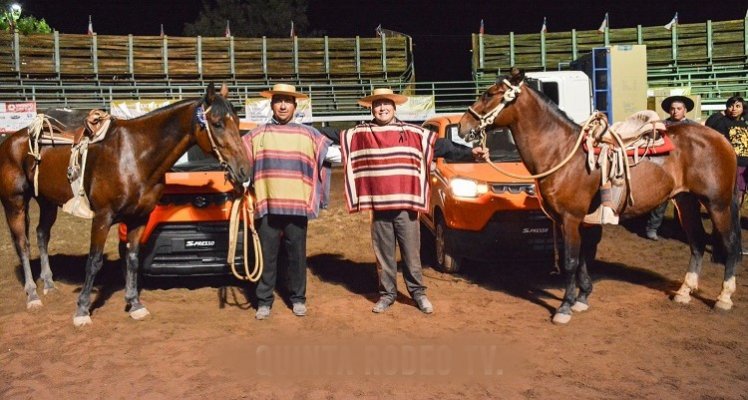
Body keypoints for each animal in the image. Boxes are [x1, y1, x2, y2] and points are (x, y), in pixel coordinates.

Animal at [0, 83, 251, 324]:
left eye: (237, 121)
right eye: (217, 123)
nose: (243, 170)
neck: (135, 155)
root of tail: (11, 139)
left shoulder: (139, 217)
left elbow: (132, 258)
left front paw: (135, 304)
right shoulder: (102, 217)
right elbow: (94, 261)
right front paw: (82, 310)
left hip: (47, 202)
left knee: (42, 234)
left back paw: (49, 284)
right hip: (15, 202)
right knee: (22, 244)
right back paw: (33, 294)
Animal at [458, 68, 740, 324]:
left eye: (489, 93)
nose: (462, 126)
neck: (561, 152)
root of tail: (720, 139)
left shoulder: (570, 218)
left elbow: (571, 260)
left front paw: (564, 307)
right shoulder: (577, 220)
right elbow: (582, 258)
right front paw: (582, 298)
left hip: (718, 204)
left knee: (730, 245)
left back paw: (724, 298)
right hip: (686, 201)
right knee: (697, 242)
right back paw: (684, 292)